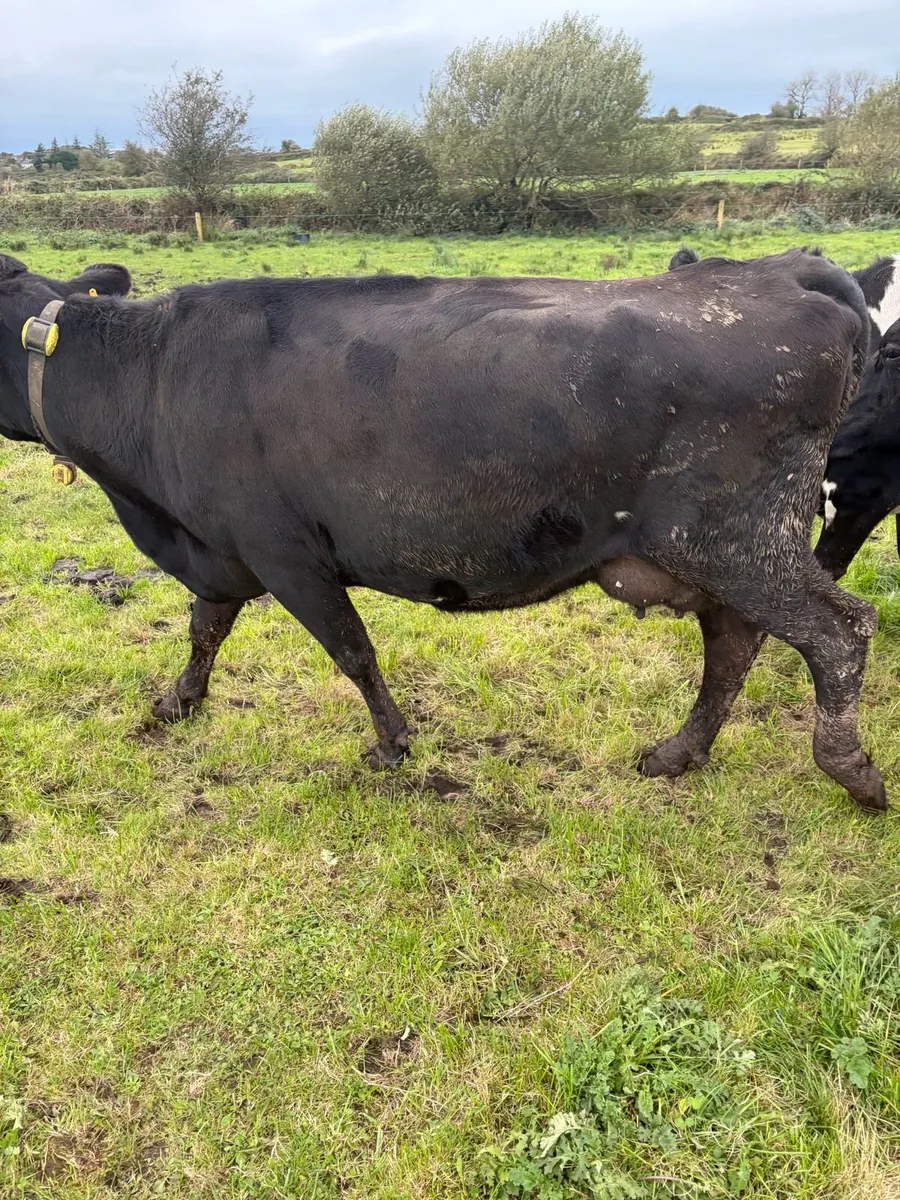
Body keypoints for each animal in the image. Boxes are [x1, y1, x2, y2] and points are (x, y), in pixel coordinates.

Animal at [0, 251, 886, 810]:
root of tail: (785, 271)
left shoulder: (284, 551)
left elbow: (351, 650)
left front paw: (393, 745)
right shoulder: (220, 548)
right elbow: (204, 626)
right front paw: (178, 701)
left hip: (739, 540)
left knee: (837, 629)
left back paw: (849, 769)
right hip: (718, 550)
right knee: (735, 642)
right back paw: (679, 753)